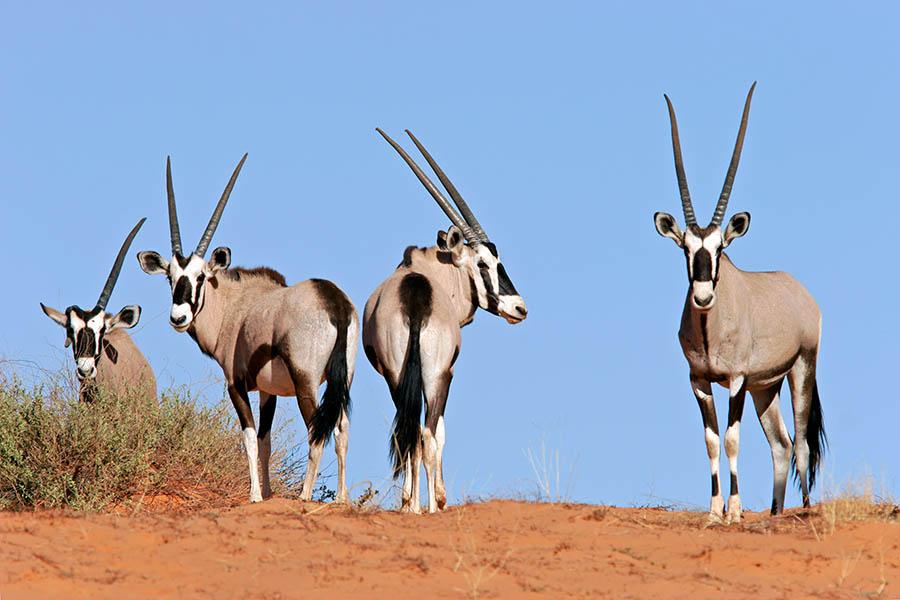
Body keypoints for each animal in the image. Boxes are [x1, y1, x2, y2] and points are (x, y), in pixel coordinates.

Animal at [137, 155, 358, 504]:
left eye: (200, 277)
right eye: (170, 277)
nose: (179, 317)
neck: (234, 306)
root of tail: (332, 300)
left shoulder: (236, 384)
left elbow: (250, 438)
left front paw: (254, 496)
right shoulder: (269, 391)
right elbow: (265, 441)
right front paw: (266, 494)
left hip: (306, 382)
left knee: (316, 431)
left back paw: (305, 495)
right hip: (343, 381)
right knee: (341, 429)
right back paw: (341, 499)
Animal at [365, 129, 528, 513]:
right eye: (484, 264)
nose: (518, 308)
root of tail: (415, 297)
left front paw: (411, 502)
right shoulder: (448, 373)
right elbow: (440, 431)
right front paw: (438, 498)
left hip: (397, 375)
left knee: (408, 430)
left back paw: (410, 504)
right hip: (436, 374)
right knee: (426, 432)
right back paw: (430, 505)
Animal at [653, 83, 825, 524]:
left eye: (719, 249)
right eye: (686, 249)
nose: (702, 297)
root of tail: (799, 292)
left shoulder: (735, 381)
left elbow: (731, 439)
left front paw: (733, 509)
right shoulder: (699, 380)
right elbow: (712, 440)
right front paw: (715, 510)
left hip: (801, 369)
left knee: (801, 441)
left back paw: (802, 510)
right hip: (767, 387)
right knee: (781, 443)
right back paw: (776, 511)